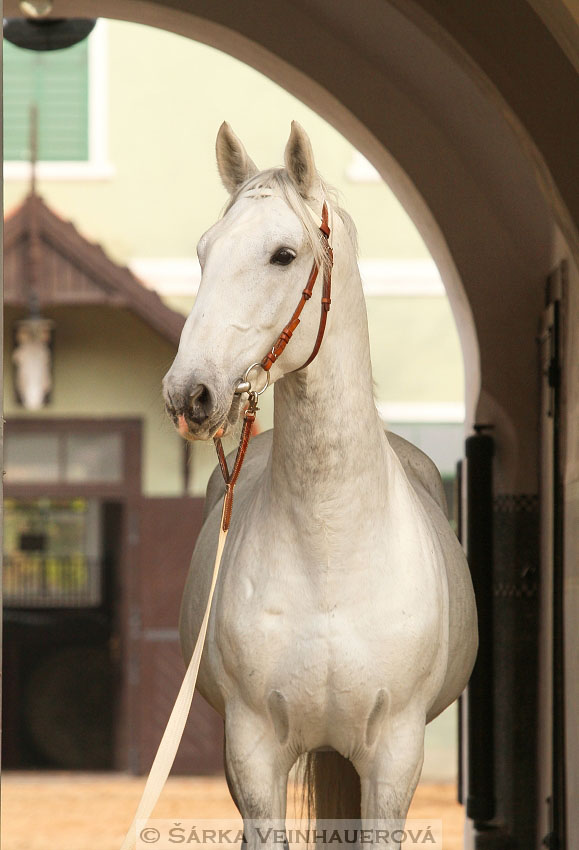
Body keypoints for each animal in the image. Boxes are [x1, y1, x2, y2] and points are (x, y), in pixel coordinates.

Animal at [162, 122, 476, 844]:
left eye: (283, 255)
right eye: (203, 252)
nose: (189, 394)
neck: (330, 550)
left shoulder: (393, 757)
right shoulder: (252, 755)